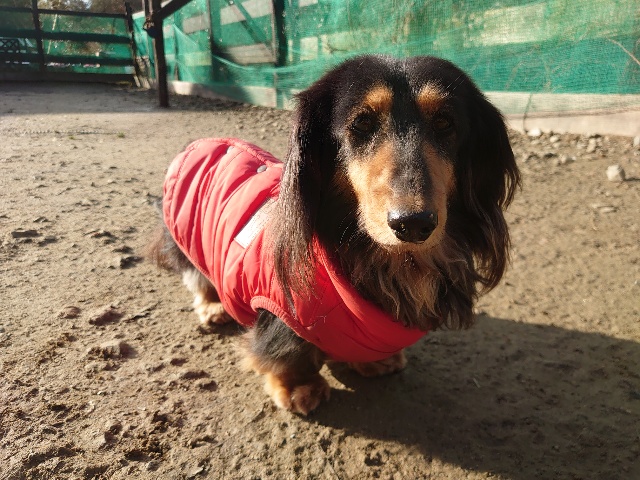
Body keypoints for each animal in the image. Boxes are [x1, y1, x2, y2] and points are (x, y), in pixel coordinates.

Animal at [147, 55, 520, 415]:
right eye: (361, 123)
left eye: (444, 123)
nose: (413, 223)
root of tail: (200, 143)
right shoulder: (281, 309)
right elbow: (286, 348)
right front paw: (298, 386)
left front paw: (376, 361)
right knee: (196, 276)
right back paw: (212, 306)